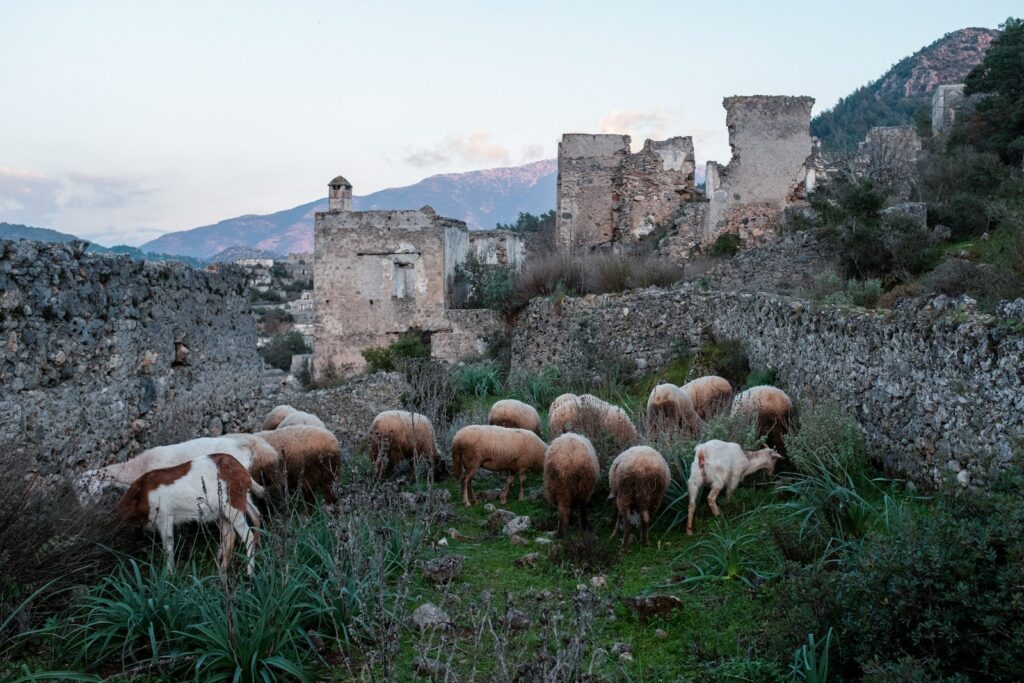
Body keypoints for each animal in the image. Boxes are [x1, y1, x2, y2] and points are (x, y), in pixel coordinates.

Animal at [114, 454, 266, 577]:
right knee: (239, 529)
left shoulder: (164, 517)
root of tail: (243, 471)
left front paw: (169, 574)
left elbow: (168, 545)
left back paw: (249, 573)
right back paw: (222, 571)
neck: (141, 494)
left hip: (233, 507)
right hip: (228, 509)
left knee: (248, 535)